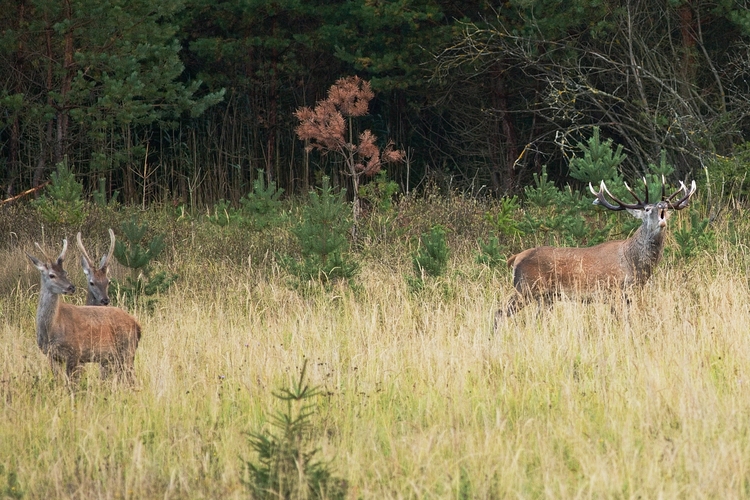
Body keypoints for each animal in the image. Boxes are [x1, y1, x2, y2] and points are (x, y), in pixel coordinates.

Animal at [27, 240, 142, 380]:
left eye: (65, 273)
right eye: (51, 275)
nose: (71, 287)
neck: (51, 329)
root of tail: (137, 324)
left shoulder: (75, 352)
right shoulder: (51, 355)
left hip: (127, 351)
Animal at [500, 178, 700, 322]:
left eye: (666, 207)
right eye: (647, 209)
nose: (662, 205)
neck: (633, 263)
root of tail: (515, 257)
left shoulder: (629, 294)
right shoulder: (614, 291)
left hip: (546, 296)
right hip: (525, 287)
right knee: (500, 312)